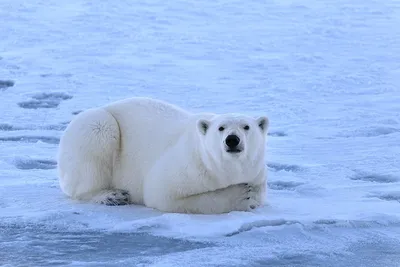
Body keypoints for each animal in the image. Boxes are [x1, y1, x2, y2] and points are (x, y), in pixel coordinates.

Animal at [57, 97, 268, 215]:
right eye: (221, 128)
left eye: (246, 127)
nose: (232, 140)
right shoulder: (189, 165)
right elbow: (163, 194)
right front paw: (241, 196)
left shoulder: (256, 173)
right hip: (95, 126)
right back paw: (112, 195)